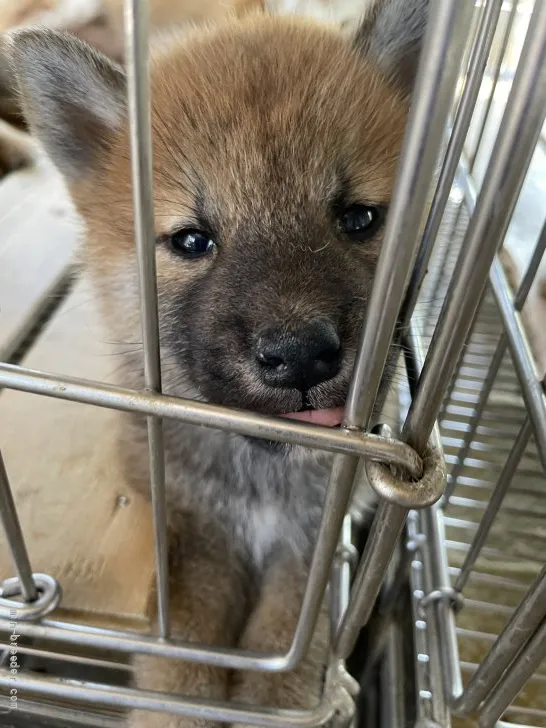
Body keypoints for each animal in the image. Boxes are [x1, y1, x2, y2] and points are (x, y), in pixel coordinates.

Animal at [7, 2, 424, 724]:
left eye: (358, 219)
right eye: (192, 241)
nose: (300, 355)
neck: (258, 477)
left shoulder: (308, 545)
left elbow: (286, 647)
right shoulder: (193, 540)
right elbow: (184, 663)